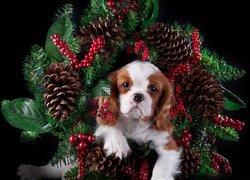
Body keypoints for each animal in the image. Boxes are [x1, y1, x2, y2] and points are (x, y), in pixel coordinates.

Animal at [17, 60, 181, 180]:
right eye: (125, 85)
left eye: (153, 89)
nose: (138, 96)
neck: (134, 122)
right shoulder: (102, 124)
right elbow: (108, 126)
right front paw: (117, 143)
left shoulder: (168, 144)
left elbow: (162, 166)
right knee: (54, 168)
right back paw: (31, 172)